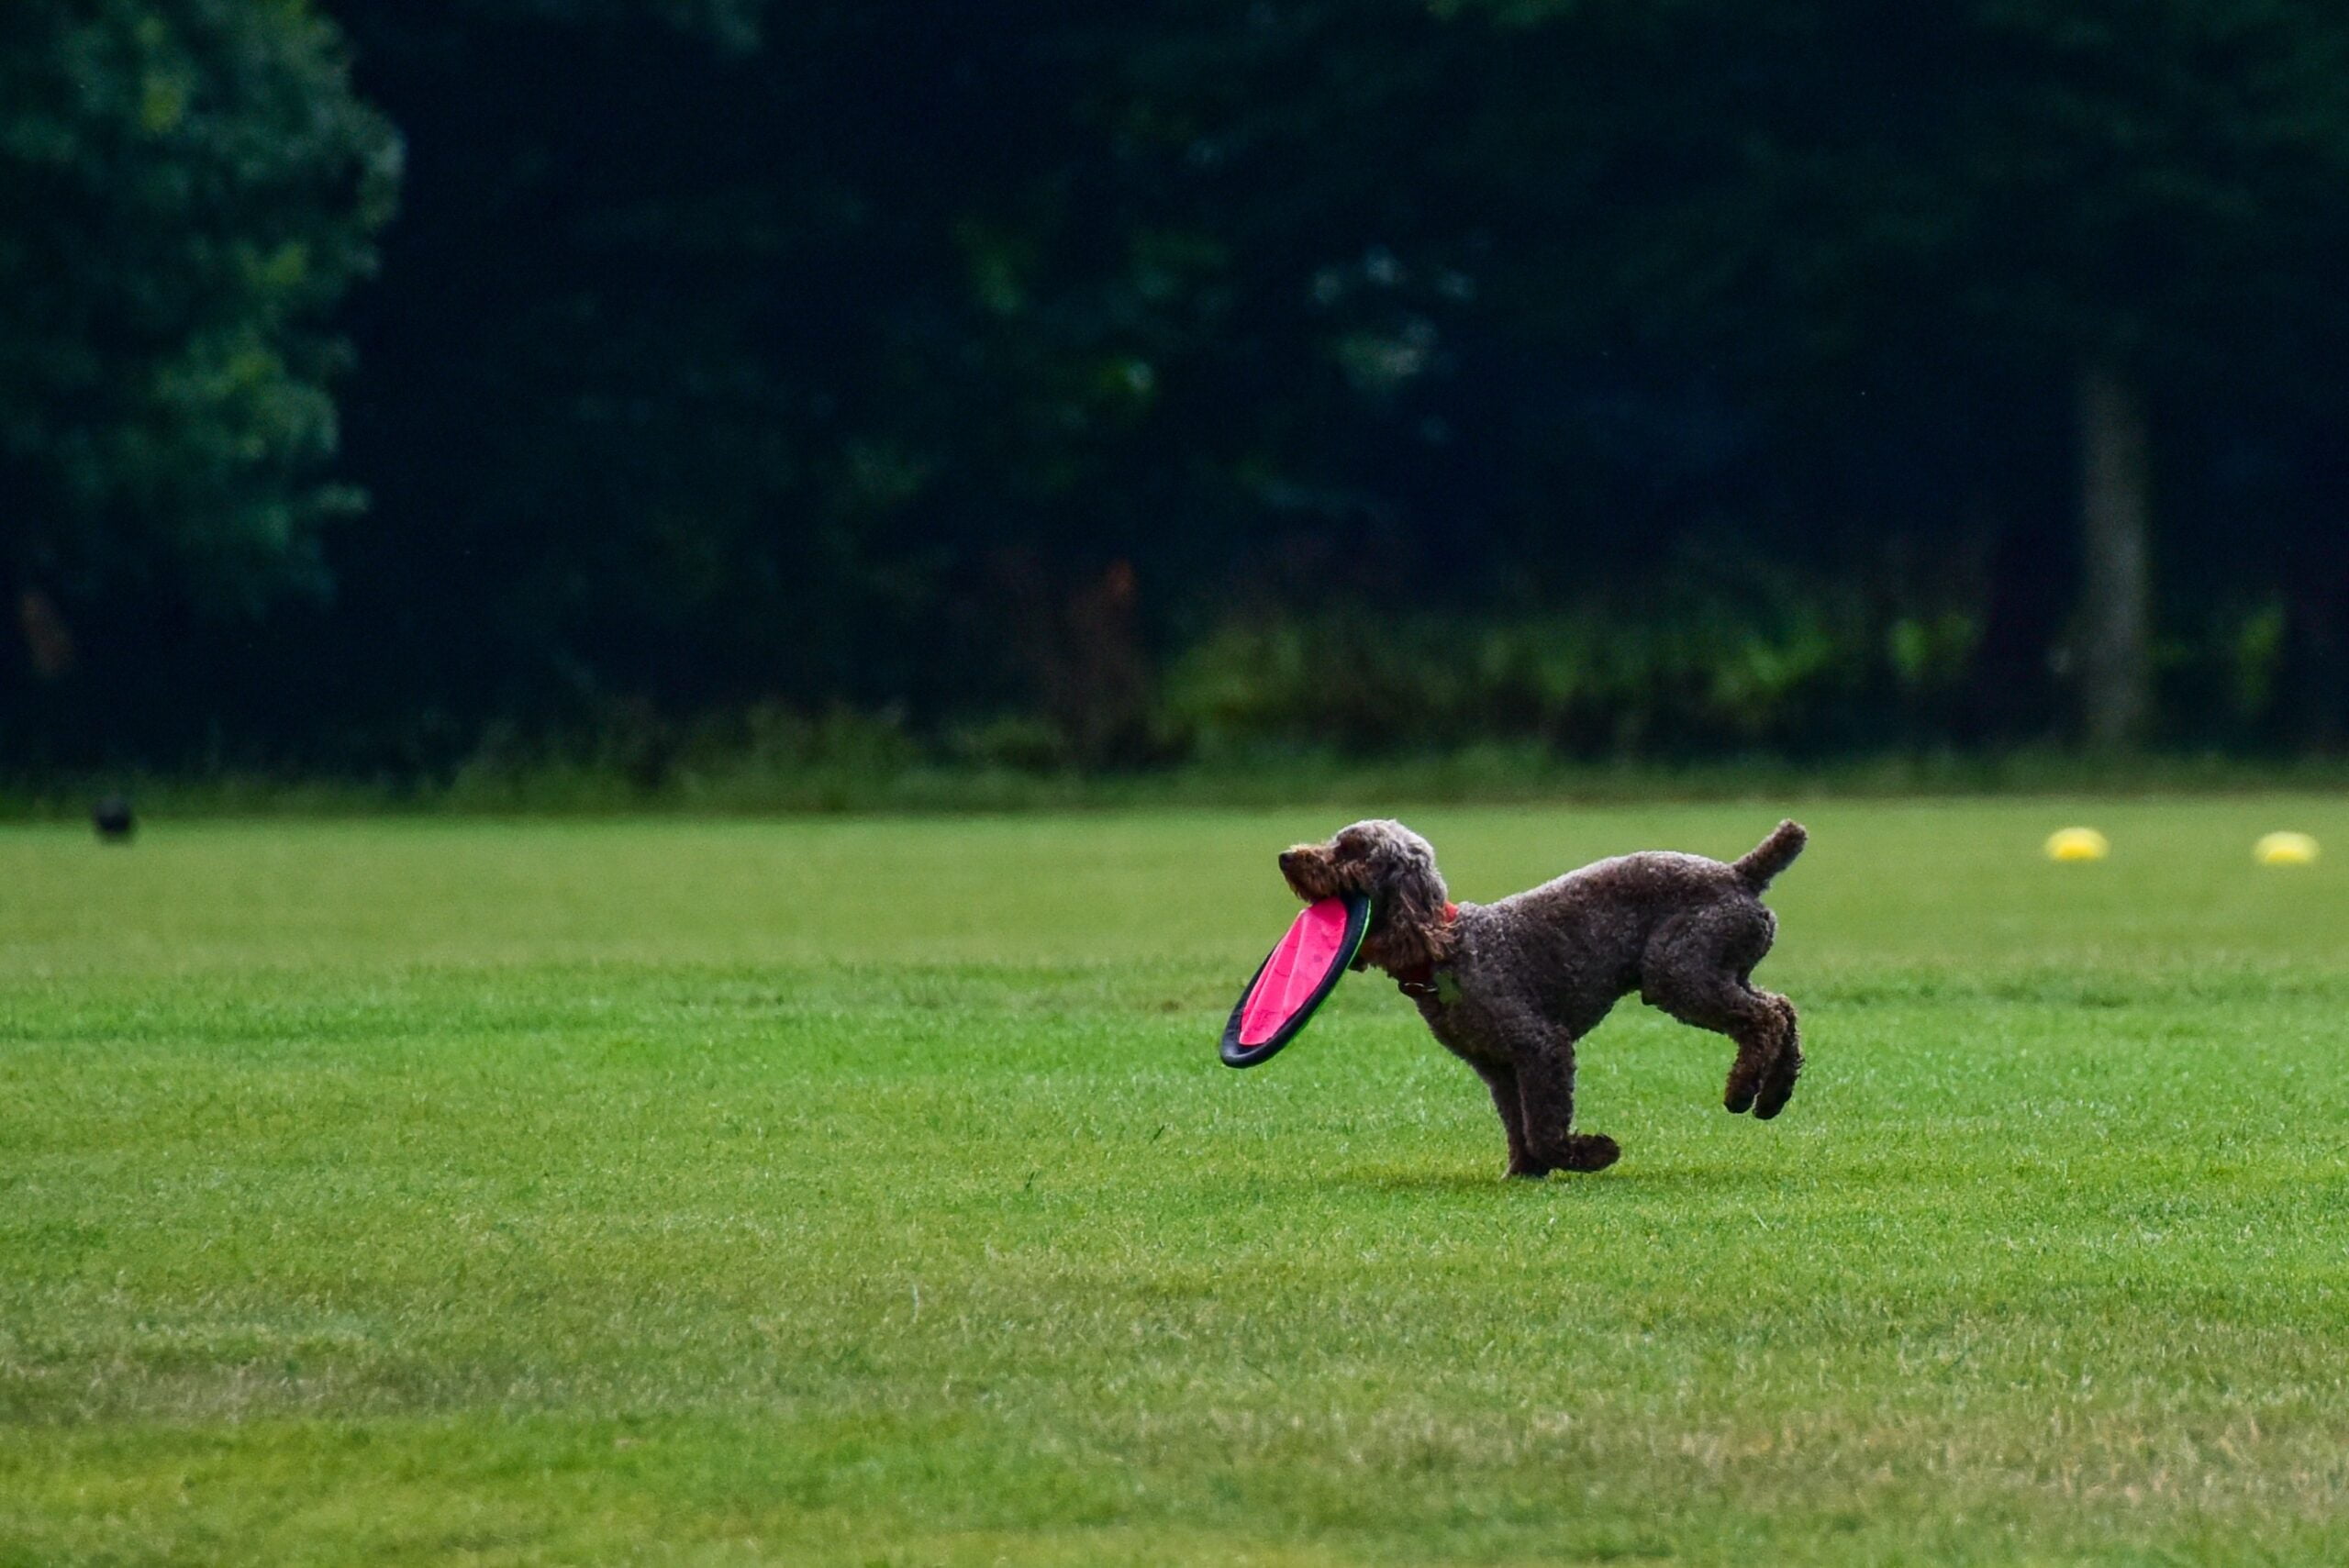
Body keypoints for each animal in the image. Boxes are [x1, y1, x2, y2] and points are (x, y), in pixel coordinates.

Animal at [1277, 821, 1804, 1173]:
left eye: (1351, 850)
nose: (1286, 856)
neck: (1448, 950)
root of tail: (1739, 874)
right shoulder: (1498, 1067)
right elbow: (1519, 1125)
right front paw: (1523, 1172)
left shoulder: (1540, 1045)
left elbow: (1544, 1127)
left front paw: (1591, 1154)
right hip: (1713, 971)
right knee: (1782, 1009)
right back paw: (1773, 1095)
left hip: (1680, 974)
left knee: (1764, 1020)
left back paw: (1742, 1090)